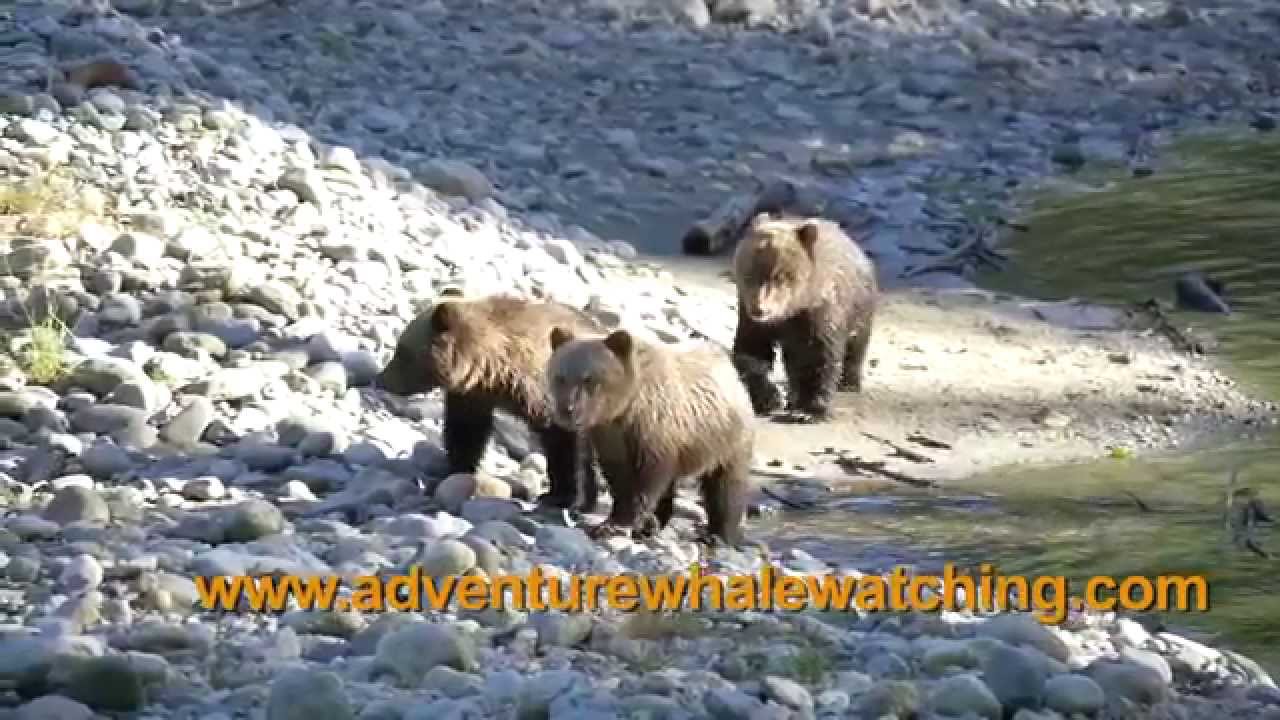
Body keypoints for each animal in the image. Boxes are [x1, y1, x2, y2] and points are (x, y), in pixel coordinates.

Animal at [375, 293, 604, 514]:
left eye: (402, 351)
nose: (380, 380)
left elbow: (567, 444)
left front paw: (564, 496)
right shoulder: (475, 395)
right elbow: (466, 431)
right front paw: (457, 469)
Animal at [545, 326, 754, 547]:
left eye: (589, 379)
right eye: (560, 377)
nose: (567, 409)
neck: (622, 411)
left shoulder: (653, 430)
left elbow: (647, 481)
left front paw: (615, 525)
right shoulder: (610, 438)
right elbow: (619, 479)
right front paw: (621, 520)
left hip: (726, 439)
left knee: (726, 486)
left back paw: (718, 534)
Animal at [730, 212, 879, 423]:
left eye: (780, 276)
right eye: (750, 273)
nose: (760, 309)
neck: (790, 310)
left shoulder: (819, 313)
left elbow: (818, 356)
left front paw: (808, 410)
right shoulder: (750, 318)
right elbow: (752, 353)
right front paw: (768, 398)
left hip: (860, 307)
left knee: (856, 346)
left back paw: (849, 382)